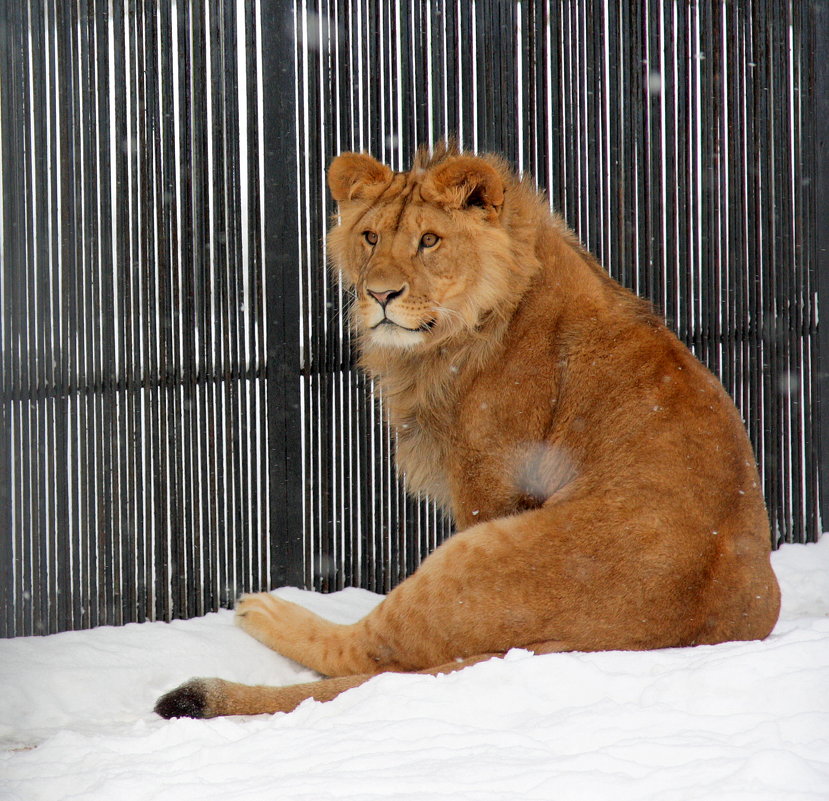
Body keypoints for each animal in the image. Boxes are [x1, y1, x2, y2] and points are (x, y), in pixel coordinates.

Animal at [154, 144, 776, 720]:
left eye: (429, 241)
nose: (381, 295)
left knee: (369, 653)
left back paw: (264, 609)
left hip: (474, 556)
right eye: (371, 237)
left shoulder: (488, 481)